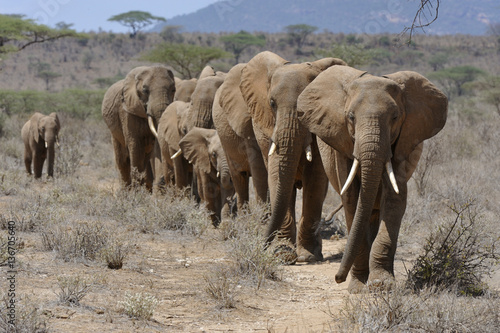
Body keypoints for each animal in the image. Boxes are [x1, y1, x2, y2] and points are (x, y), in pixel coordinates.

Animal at [238, 50, 348, 260]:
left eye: (306, 109)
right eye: (272, 103)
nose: (262, 246)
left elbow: (315, 178)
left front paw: (308, 256)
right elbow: (276, 174)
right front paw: (283, 254)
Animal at [296, 66, 450, 292]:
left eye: (395, 117)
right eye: (351, 117)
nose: (337, 278)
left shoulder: (401, 143)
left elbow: (394, 198)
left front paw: (381, 285)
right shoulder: (342, 143)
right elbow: (352, 200)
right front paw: (358, 288)